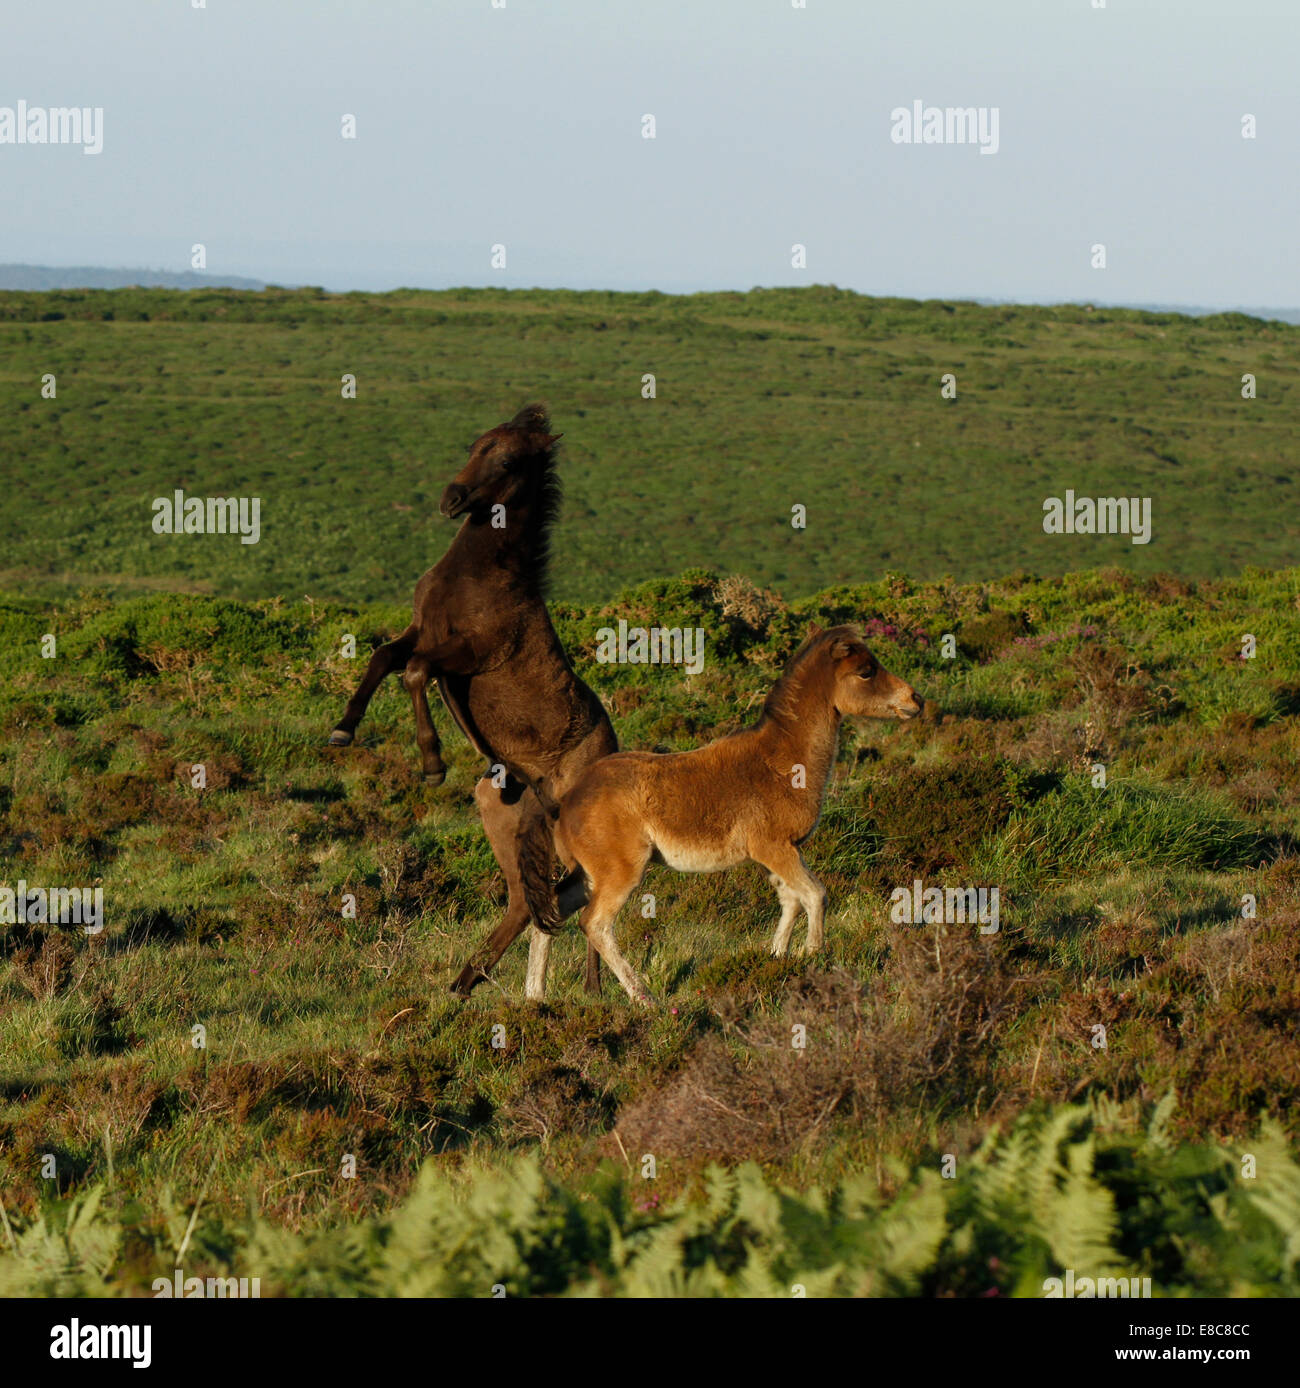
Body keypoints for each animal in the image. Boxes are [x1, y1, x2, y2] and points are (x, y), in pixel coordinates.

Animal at [331, 402, 621, 999]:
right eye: (475, 443)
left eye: (508, 459)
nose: (452, 498)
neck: (479, 574)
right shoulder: (420, 631)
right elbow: (383, 659)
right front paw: (343, 729)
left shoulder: (468, 652)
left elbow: (414, 673)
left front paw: (432, 763)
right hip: (504, 821)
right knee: (530, 901)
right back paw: (465, 983)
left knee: (574, 894)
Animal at [518, 630, 921, 1010]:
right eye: (866, 671)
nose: (916, 700)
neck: (780, 762)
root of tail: (567, 801)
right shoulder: (774, 848)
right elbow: (814, 895)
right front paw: (813, 956)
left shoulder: (781, 853)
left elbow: (791, 900)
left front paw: (776, 959)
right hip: (618, 873)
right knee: (595, 924)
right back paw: (644, 997)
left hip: (587, 875)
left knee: (551, 913)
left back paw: (535, 998)